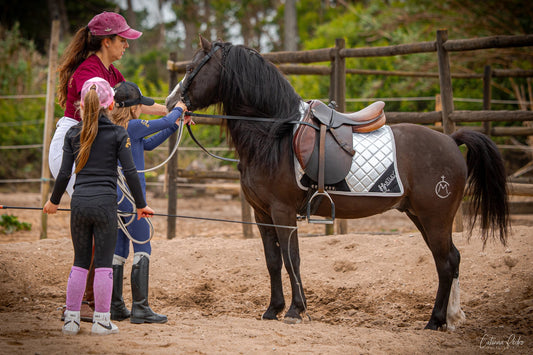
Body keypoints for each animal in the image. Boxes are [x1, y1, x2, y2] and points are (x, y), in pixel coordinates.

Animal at [166, 36, 508, 330]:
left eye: (192, 68)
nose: (171, 103)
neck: (274, 134)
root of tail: (451, 140)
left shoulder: (283, 212)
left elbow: (292, 260)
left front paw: (295, 311)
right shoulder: (261, 214)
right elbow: (273, 261)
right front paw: (273, 309)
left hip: (435, 217)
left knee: (446, 262)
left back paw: (435, 321)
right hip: (419, 215)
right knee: (451, 259)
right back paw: (450, 317)